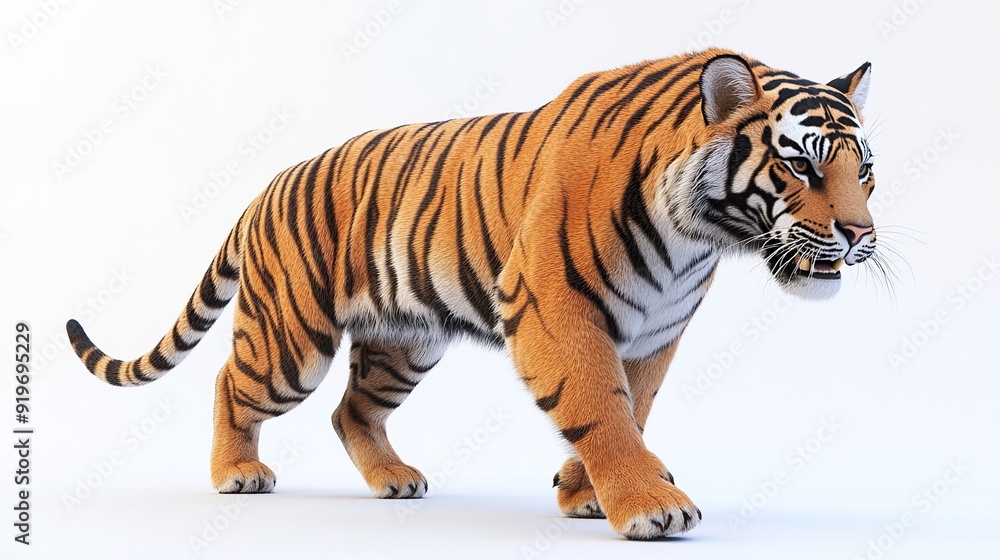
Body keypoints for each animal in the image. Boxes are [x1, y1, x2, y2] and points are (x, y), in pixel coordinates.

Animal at [67, 48, 877, 540]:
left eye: (863, 171)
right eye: (802, 168)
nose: (862, 235)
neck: (697, 236)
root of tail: (264, 188)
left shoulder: (654, 332)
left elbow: (631, 408)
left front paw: (587, 494)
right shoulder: (555, 310)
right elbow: (600, 406)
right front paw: (650, 506)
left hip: (403, 343)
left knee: (350, 411)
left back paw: (392, 480)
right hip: (291, 341)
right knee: (231, 383)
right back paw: (236, 473)